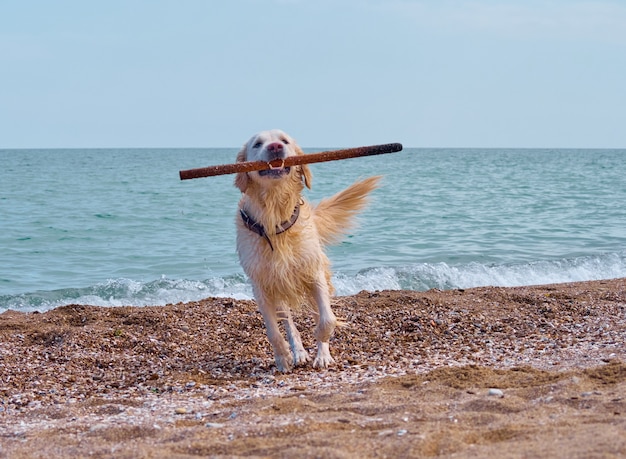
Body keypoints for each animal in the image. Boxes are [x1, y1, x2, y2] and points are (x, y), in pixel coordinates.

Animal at [234, 130, 380, 374]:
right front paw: (283, 357)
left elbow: (327, 320)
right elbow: (274, 332)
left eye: (284, 140)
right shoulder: (261, 285)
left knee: (318, 313)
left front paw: (321, 340)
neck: (275, 216)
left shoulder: (314, 273)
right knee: (288, 322)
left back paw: (322, 354)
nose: (275, 147)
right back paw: (299, 351)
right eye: (257, 144)